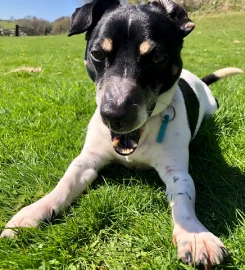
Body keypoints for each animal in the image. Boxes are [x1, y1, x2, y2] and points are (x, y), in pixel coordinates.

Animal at [1, 0, 243, 266]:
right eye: (97, 54)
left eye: (157, 57)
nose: (114, 116)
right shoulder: (88, 160)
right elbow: (65, 183)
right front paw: (34, 211)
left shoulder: (177, 171)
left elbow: (183, 196)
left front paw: (195, 235)